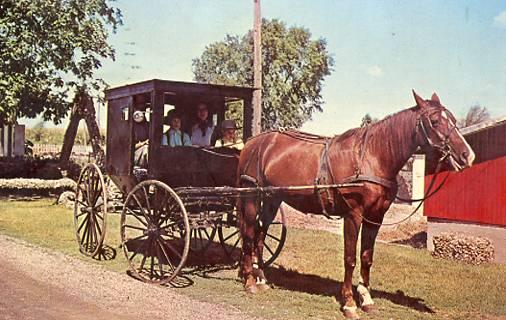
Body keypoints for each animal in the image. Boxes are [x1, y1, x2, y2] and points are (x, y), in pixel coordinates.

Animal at [237, 91, 474, 318]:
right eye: (434, 121)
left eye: (453, 119)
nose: (467, 155)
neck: (371, 157)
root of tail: (253, 142)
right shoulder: (353, 215)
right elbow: (350, 258)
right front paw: (349, 303)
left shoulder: (375, 217)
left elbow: (366, 257)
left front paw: (366, 299)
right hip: (251, 197)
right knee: (248, 234)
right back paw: (249, 281)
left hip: (272, 199)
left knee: (260, 234)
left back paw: (261, 278)